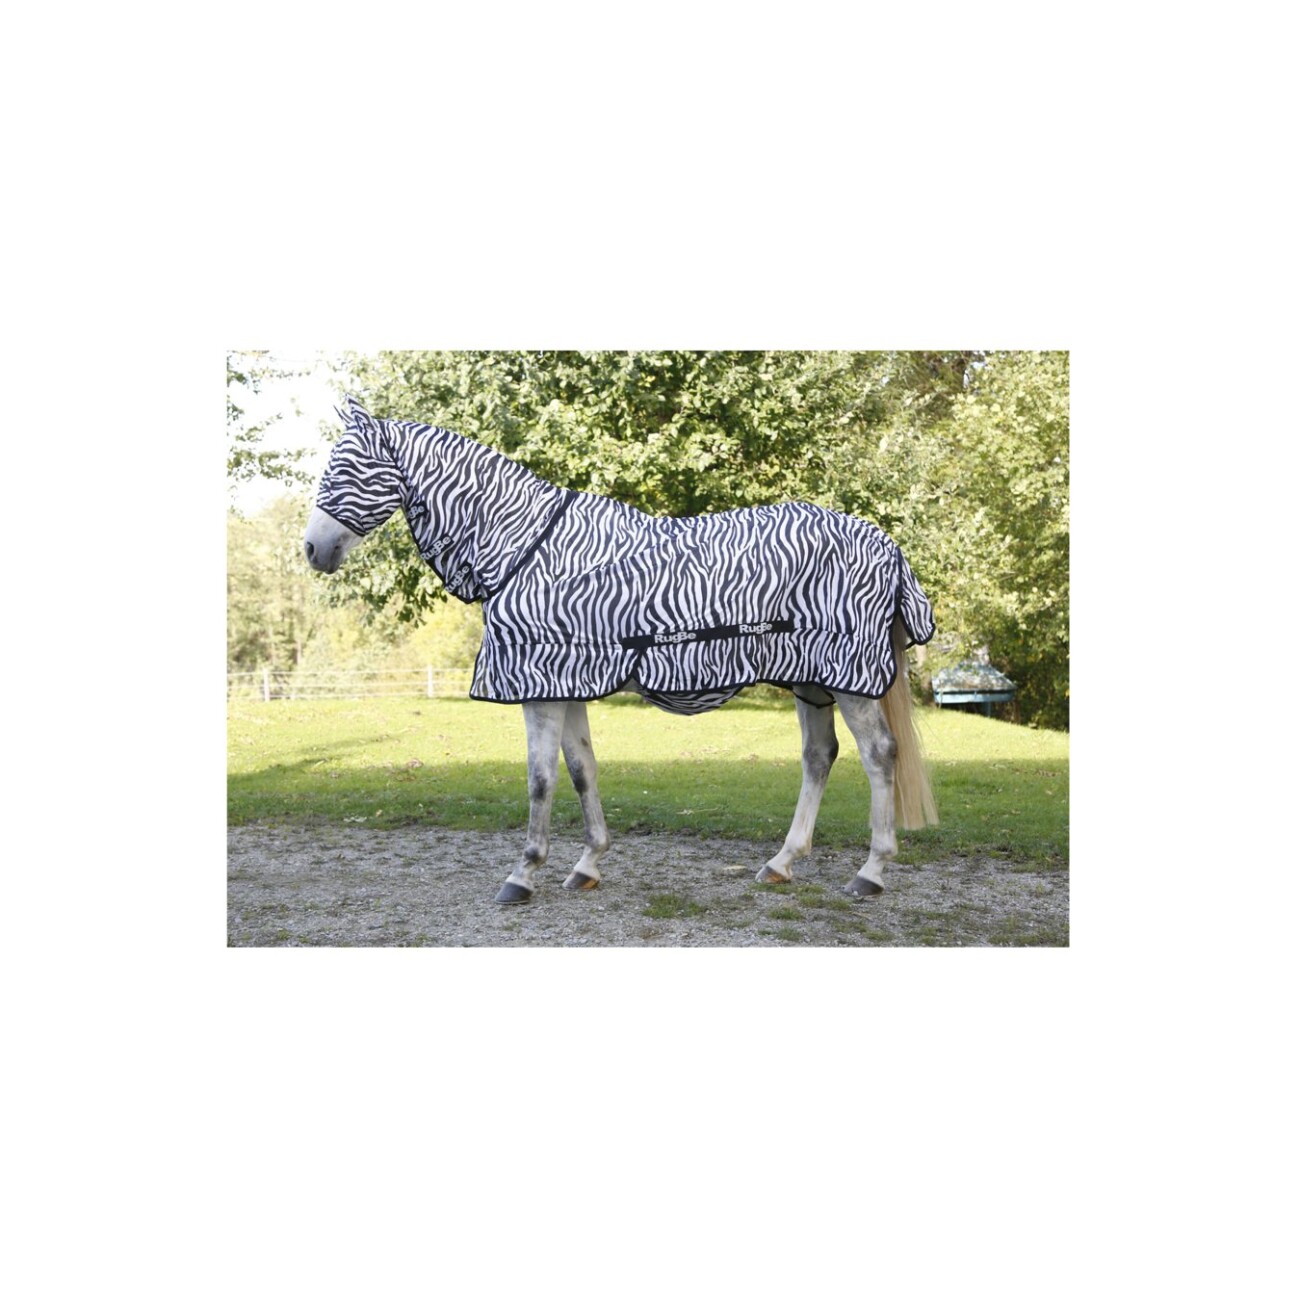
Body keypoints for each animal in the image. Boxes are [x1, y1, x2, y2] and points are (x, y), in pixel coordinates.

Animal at [304, 396, 938, 905]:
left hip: (849, 678)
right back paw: (782, 863)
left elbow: (541, 778)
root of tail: (886, 544)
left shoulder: (540, 684)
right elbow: (582, 770)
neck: (523, 545)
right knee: (819, 755)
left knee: (879, 755)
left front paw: (522, 875)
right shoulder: (564, 681)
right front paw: (587, 864)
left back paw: (871, 872)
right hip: (812, 679)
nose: (312, 549)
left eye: (345, 468)